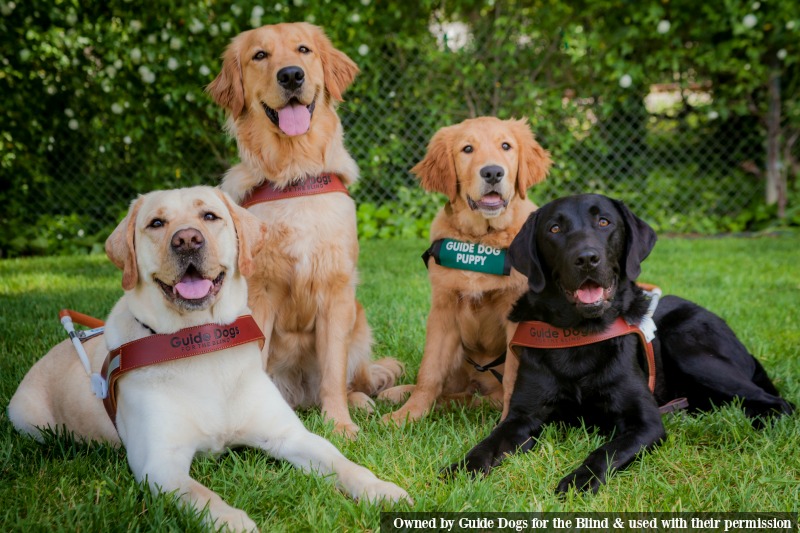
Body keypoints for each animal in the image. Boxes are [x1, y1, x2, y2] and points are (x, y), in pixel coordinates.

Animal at [9, 186, 412, 528]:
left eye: (210, 216)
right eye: (156, 223)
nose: (187, 239)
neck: (201, 344)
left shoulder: (290, 435)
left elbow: (343, 464)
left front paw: (381, 489)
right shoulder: (161, 465)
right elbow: (203, 497)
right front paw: (236, 522)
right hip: (27, 421)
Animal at [208, 21, 400, 436]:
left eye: (303, 50)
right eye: (259, 55)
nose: (291, 75)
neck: (295, 176)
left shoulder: (336, 293)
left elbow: (332, 372)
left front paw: (339, 424)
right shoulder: (259, 294)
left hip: (359, 322)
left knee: (354, 378)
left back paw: (359, 402)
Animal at [382, 117, 552, 424]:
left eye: (506, 146)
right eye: (467, 149)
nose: (493, 172)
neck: (480, 241)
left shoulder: (517, 317)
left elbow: (513, 378)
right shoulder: (443, 310)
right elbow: (429, 372)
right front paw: (409, 414)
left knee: (479, 398)